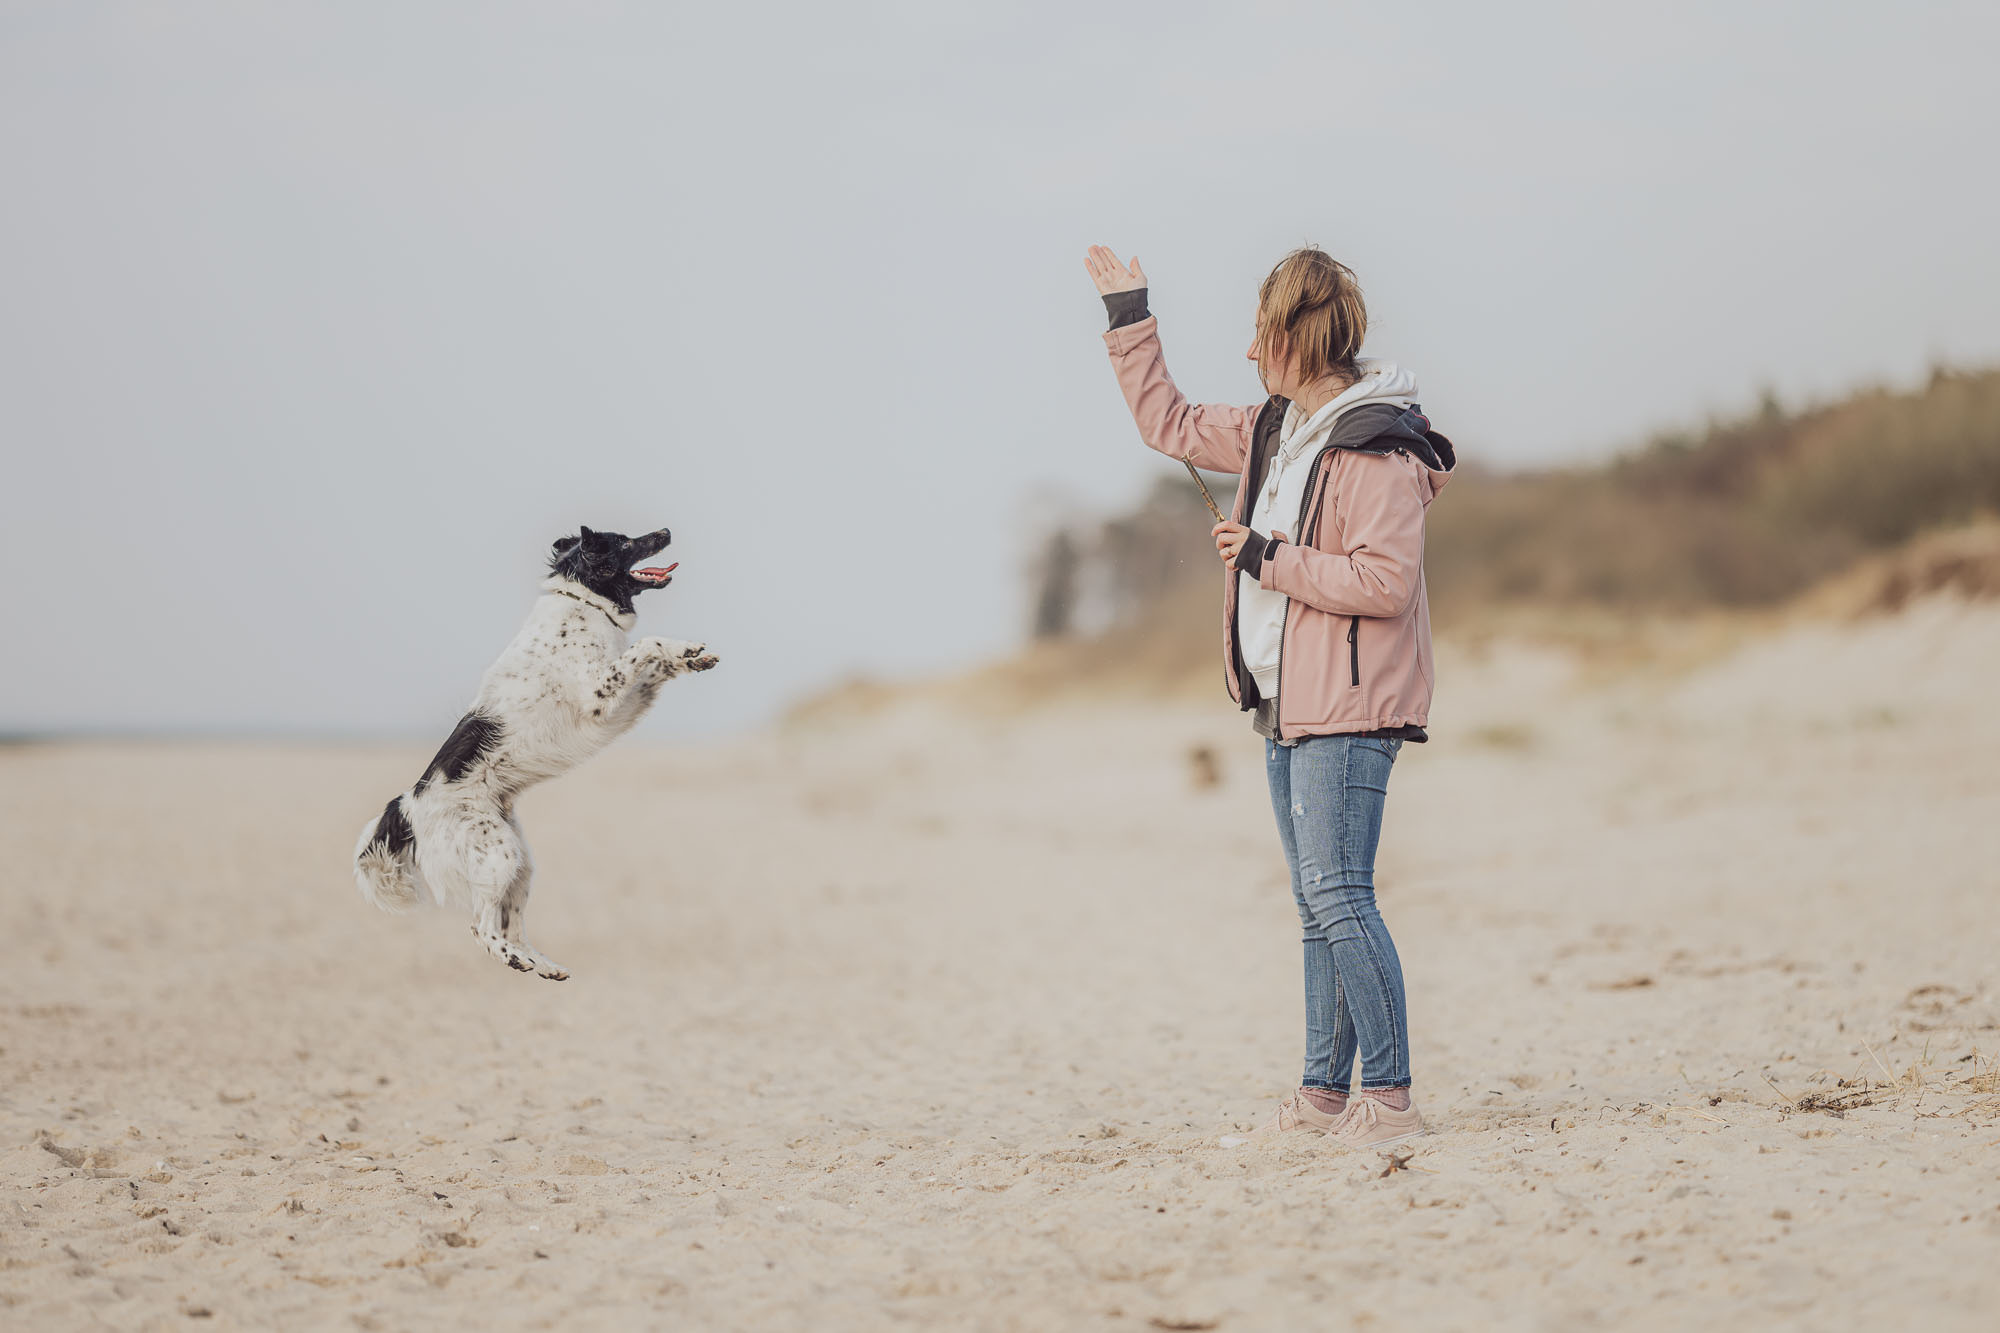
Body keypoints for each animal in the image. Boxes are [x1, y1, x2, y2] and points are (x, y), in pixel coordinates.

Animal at [354, 520, 720, 976]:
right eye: (624, 541)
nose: (666, 530)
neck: (583, 601)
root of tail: (405, 805)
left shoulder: (622, 702)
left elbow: (655, 664)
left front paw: (689, 656)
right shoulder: (599, 698)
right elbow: (646, 646)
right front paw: (681, 651)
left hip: (521, 864)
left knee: (512, 924)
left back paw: (541, 963)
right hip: (499, 855)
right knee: (480, 926)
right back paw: (512, 958)